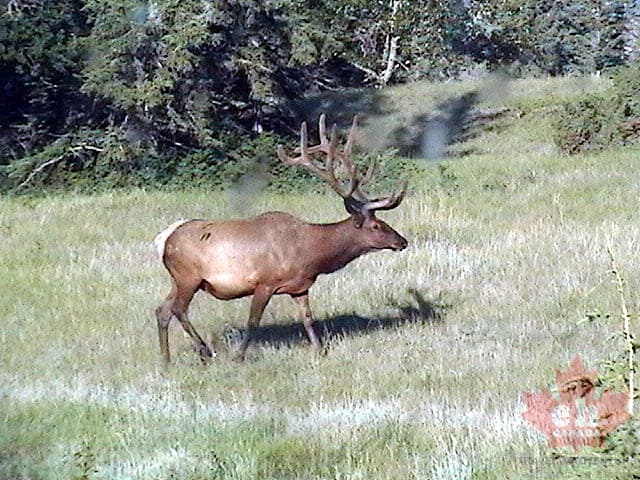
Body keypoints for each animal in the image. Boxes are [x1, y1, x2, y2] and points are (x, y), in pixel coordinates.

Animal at [152, 115, 408, 364]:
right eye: (376, 226)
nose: (402, 241)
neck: (311, 254)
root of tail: (162, 240)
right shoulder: (264, 282)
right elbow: (253, 321)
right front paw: (239, 356)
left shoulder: (300, 287)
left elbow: (308, 319)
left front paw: (319, 351)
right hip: (188, 276)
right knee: (178, 309)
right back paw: (205, 351)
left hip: (177, 279)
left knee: (162, 310)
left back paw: (166, 359)